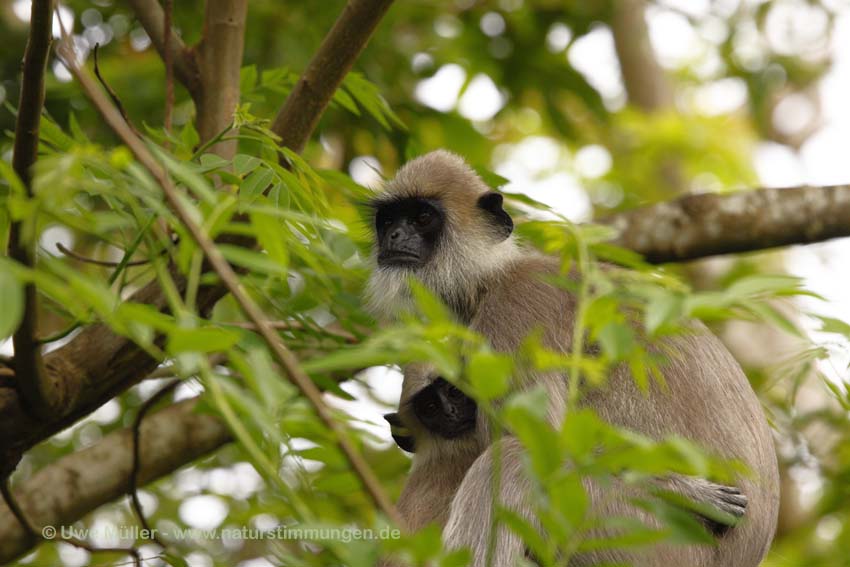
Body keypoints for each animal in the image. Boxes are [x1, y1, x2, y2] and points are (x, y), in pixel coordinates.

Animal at [364, 151, 776, 567]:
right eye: (388, 221)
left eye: (422, 217)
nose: (395, 237)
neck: (491, 280)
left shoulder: (516, 311)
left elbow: (539, 444)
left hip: (640, 530)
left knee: (513, 459)